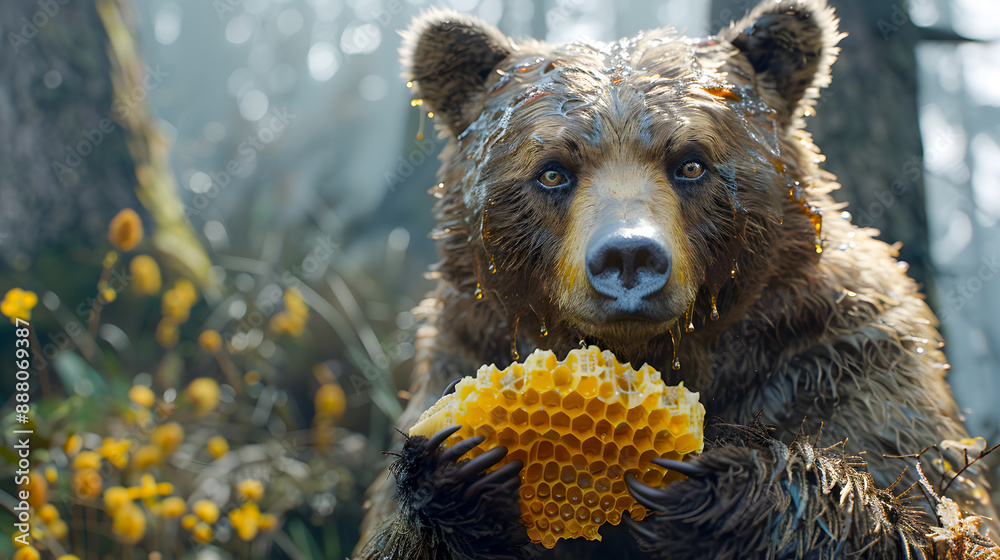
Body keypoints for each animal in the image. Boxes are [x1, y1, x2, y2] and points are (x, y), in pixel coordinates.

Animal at [354, 0, 999, 558]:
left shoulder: (833, 356)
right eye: (553, 171)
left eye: (691, 162)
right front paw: (462, 463)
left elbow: (920, 509)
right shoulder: (465, 343)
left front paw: (708, 484)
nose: (629, 256)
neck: (670, 355)